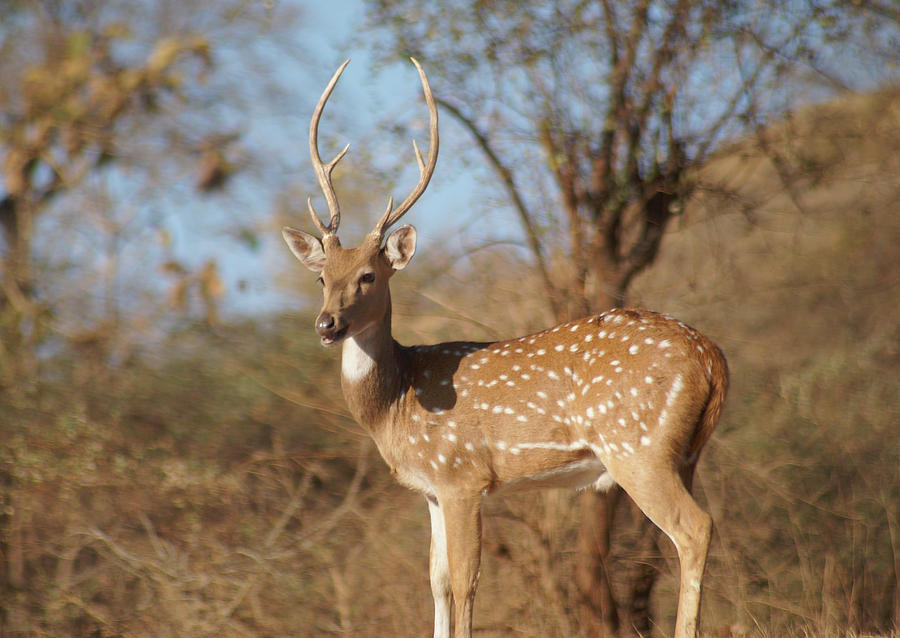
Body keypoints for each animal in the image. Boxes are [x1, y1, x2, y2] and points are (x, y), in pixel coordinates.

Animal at [284, 60, 728, 638]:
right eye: (321, 278)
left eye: (368, 276)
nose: (327, 324)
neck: (396, 403)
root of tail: (712, 357)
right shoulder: (431, 490)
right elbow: (437, 582)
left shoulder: (462, 474)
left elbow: (466, 581)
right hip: (687, 452)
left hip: (638, 447)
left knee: (694, 528)